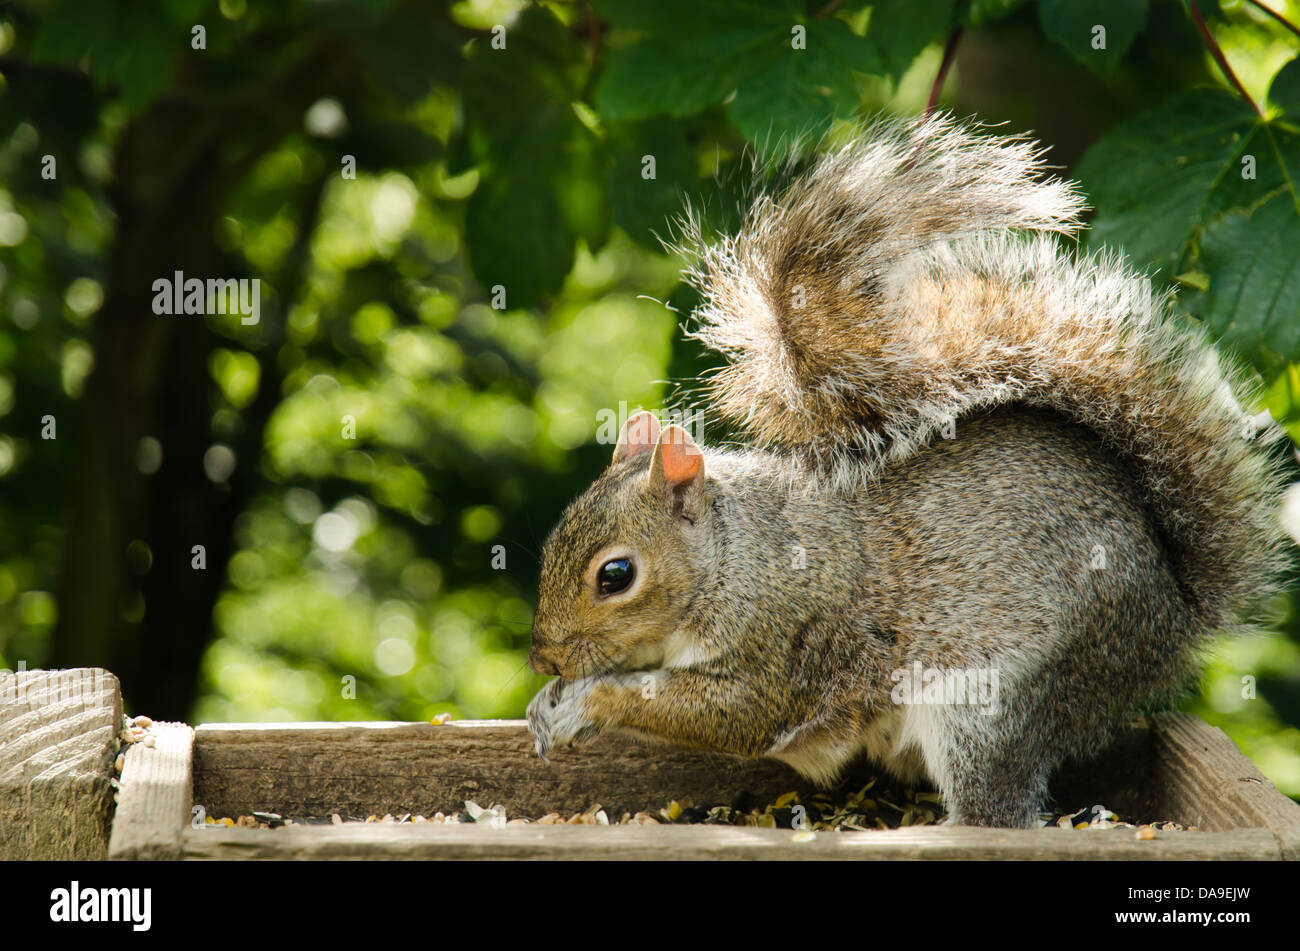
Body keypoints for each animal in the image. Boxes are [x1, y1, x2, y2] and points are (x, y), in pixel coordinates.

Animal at [520, 113, 1289, 826]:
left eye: (616, 576)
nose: (543, 660)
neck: (731, 557)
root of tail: (1173, 611)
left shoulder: (785, 643)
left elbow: (734, 713)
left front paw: (586, 701)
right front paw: (544, 704)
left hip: (993, 695)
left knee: (999, 811)